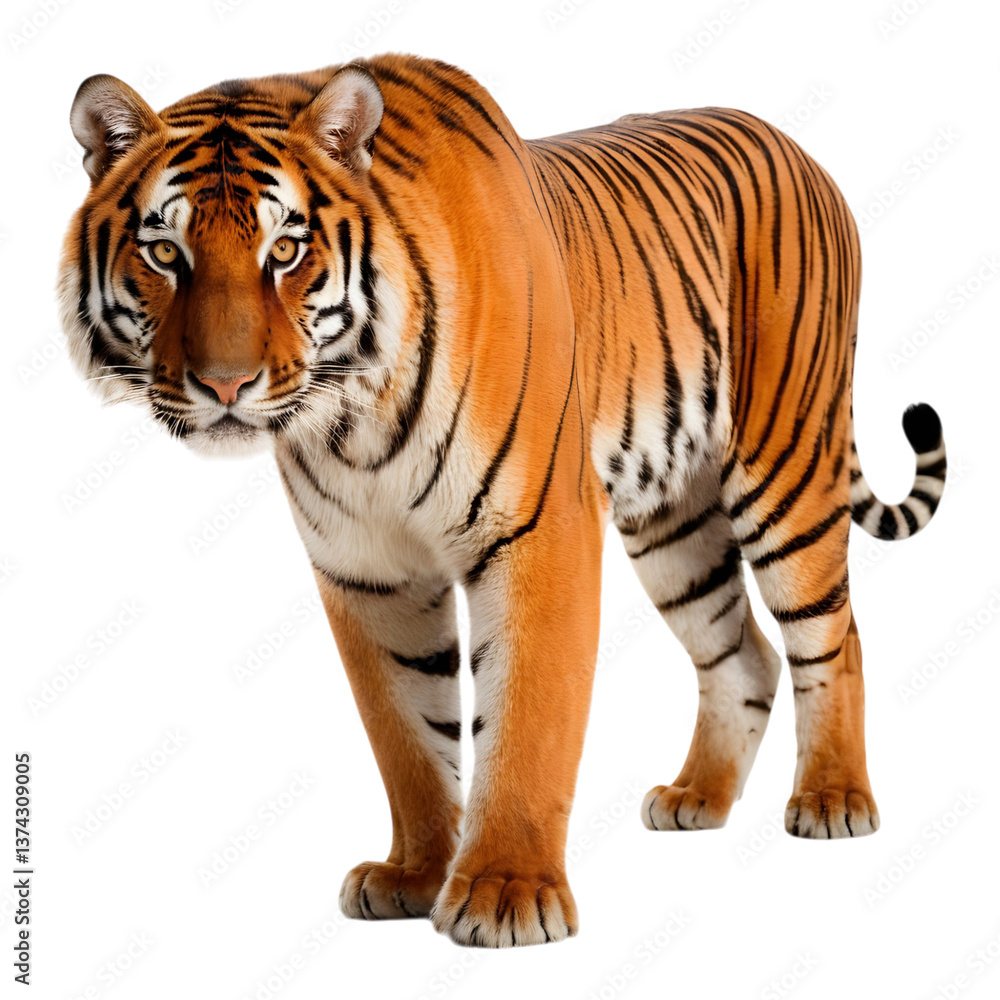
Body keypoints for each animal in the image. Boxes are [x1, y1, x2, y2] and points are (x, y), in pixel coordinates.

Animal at [58, 53, 946, 948]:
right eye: (164, 252)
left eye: (285, 250)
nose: (225, 385)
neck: (352, 420)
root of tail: (797, 145)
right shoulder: (366, 571)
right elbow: (407, 734)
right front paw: (414, 874)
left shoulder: (538, 532)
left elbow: (527, 717)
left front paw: (506, 892)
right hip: (675, 525)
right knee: (744, 653)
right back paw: (696, 797)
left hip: (785, 464)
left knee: (833, 635)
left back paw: (833, 799)